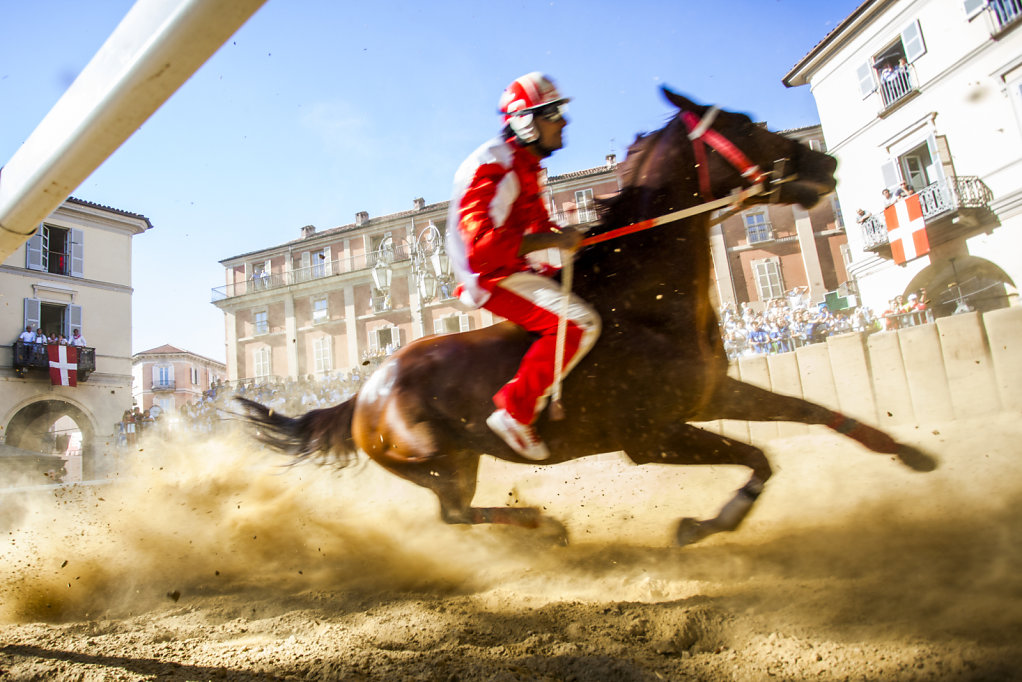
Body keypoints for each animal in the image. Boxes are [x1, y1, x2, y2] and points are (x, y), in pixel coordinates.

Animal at [235, 89, 936, 548]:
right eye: (742, 126)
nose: (825, 165)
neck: (647, 303)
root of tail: (363, 392)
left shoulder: (713, 393)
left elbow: (810, 416)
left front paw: (909, 453)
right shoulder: (652, 437)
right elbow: (758, 457)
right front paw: (707, 523)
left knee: (457, 514)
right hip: (437, 459)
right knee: (453, 515)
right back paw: (544, 524)